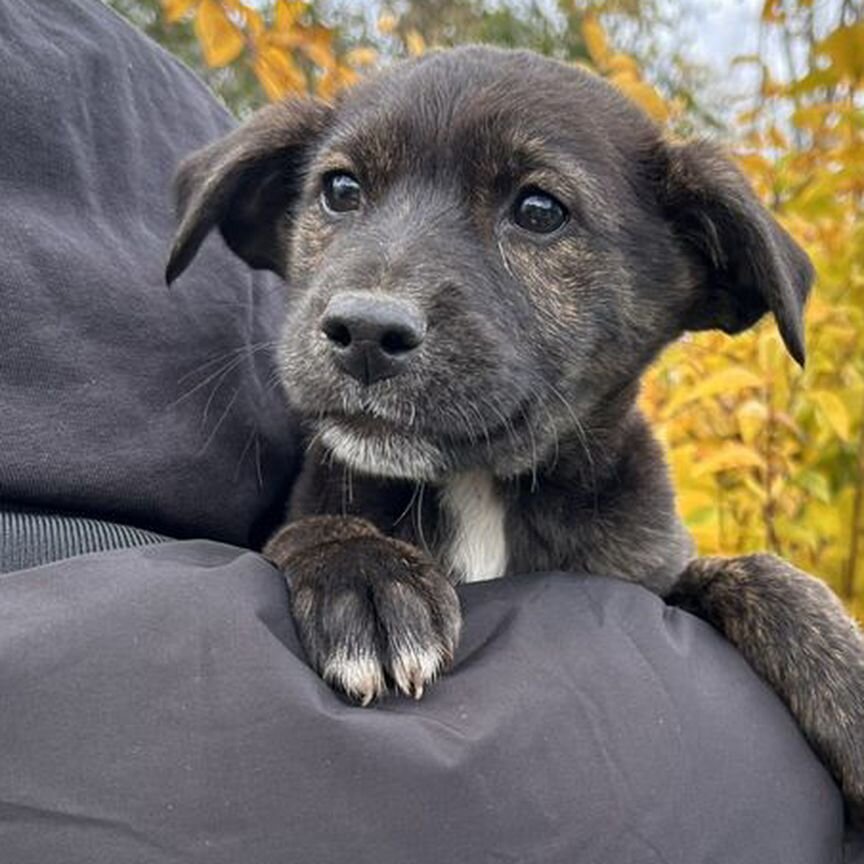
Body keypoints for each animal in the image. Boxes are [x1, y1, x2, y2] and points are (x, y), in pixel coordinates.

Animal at [167, 45, 864, 816]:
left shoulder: (647, 572)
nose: (365, 332)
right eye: (340, 190)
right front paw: (365, 573)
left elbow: (756, 572)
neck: (479, 488)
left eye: (539, 211)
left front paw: (847, 681)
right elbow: (314, 527)